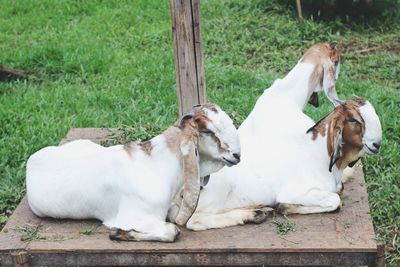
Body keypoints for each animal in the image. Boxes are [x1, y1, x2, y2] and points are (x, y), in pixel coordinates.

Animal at [27, 103, 241, 242]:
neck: (156, 165)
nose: (237, 155)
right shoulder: (134, 216)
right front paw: (119, 233)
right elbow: (172, 231)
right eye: (208, 131)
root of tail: (31, 162)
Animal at [186, 97, 382, 231]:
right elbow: (335, 201)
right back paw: (253, 215)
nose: (377, 144)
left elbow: (339, 191)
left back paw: (259, 210)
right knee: (195, 221)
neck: (316, 152)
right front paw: (284, 206)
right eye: (354, 119)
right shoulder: (295, 191)